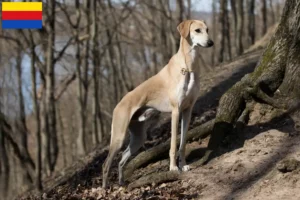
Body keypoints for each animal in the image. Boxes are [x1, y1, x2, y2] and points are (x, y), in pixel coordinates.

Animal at [102, 19, 213, 188]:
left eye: (207, 30)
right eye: (197, 30)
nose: (211, 43)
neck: (188, 66)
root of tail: (118, 104)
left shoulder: (187, 110)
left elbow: (182, 143)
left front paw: (183, 165)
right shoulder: (175, 111)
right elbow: (173, 145)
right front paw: (173, 168)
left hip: (139, 137)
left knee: (121, 160)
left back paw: (121, 183)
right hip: (118, 137)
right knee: (106, 164)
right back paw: (104, 188)